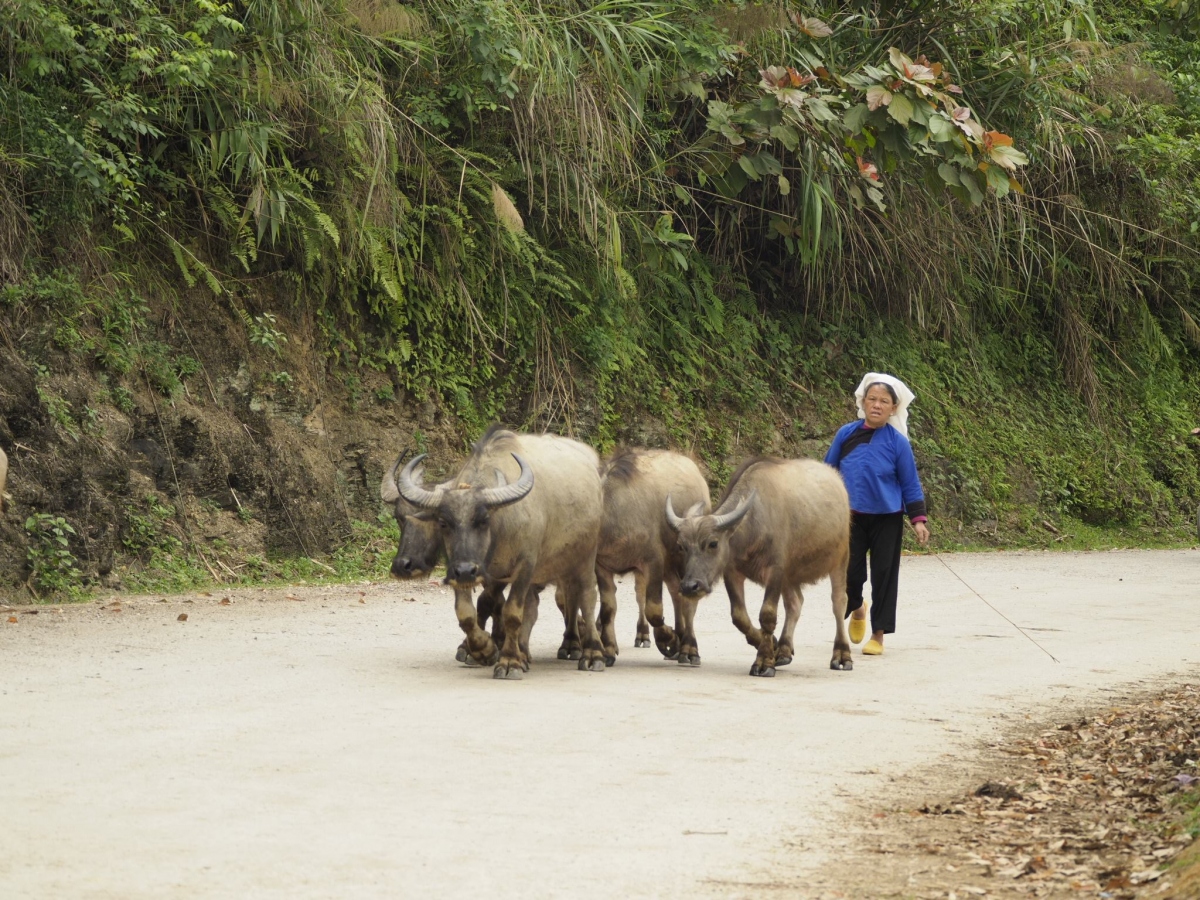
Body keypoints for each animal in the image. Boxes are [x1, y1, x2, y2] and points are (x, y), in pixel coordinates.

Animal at [393, 427, 604, 681]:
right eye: (443, 523)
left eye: (483, 520)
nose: (466, 571)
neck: (501, 528)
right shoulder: (467, 570)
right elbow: (468, 612)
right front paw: (483, 649)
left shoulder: (525, 567)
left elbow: (511, 613)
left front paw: (510, 661)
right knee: (535, 605)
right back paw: (525, 651)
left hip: (584, 557)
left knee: (586, 598)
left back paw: (591, 653)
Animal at [592, 448, 705, 667]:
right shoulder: (602, 566)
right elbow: (608, 609)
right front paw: (608, 650)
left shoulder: (653, 563)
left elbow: (653, 609)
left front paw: (669, 640)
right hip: (668, 567)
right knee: (675, 593)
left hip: (683, 562)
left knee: (689, 601)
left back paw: (689, 649)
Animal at [667, 458, 854, 676]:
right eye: (682, 546)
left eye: (713, 543)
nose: (690, 586)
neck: (753, 527)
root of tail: (837, 481)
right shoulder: (733, 572)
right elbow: (739, 616)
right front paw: (770, 644)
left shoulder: (775, 571)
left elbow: (767, 615)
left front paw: (764, 661)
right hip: (790, 576)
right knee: (795, 603)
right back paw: (783, 650)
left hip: (840, 559)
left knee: (839, 602)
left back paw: (842, 655)